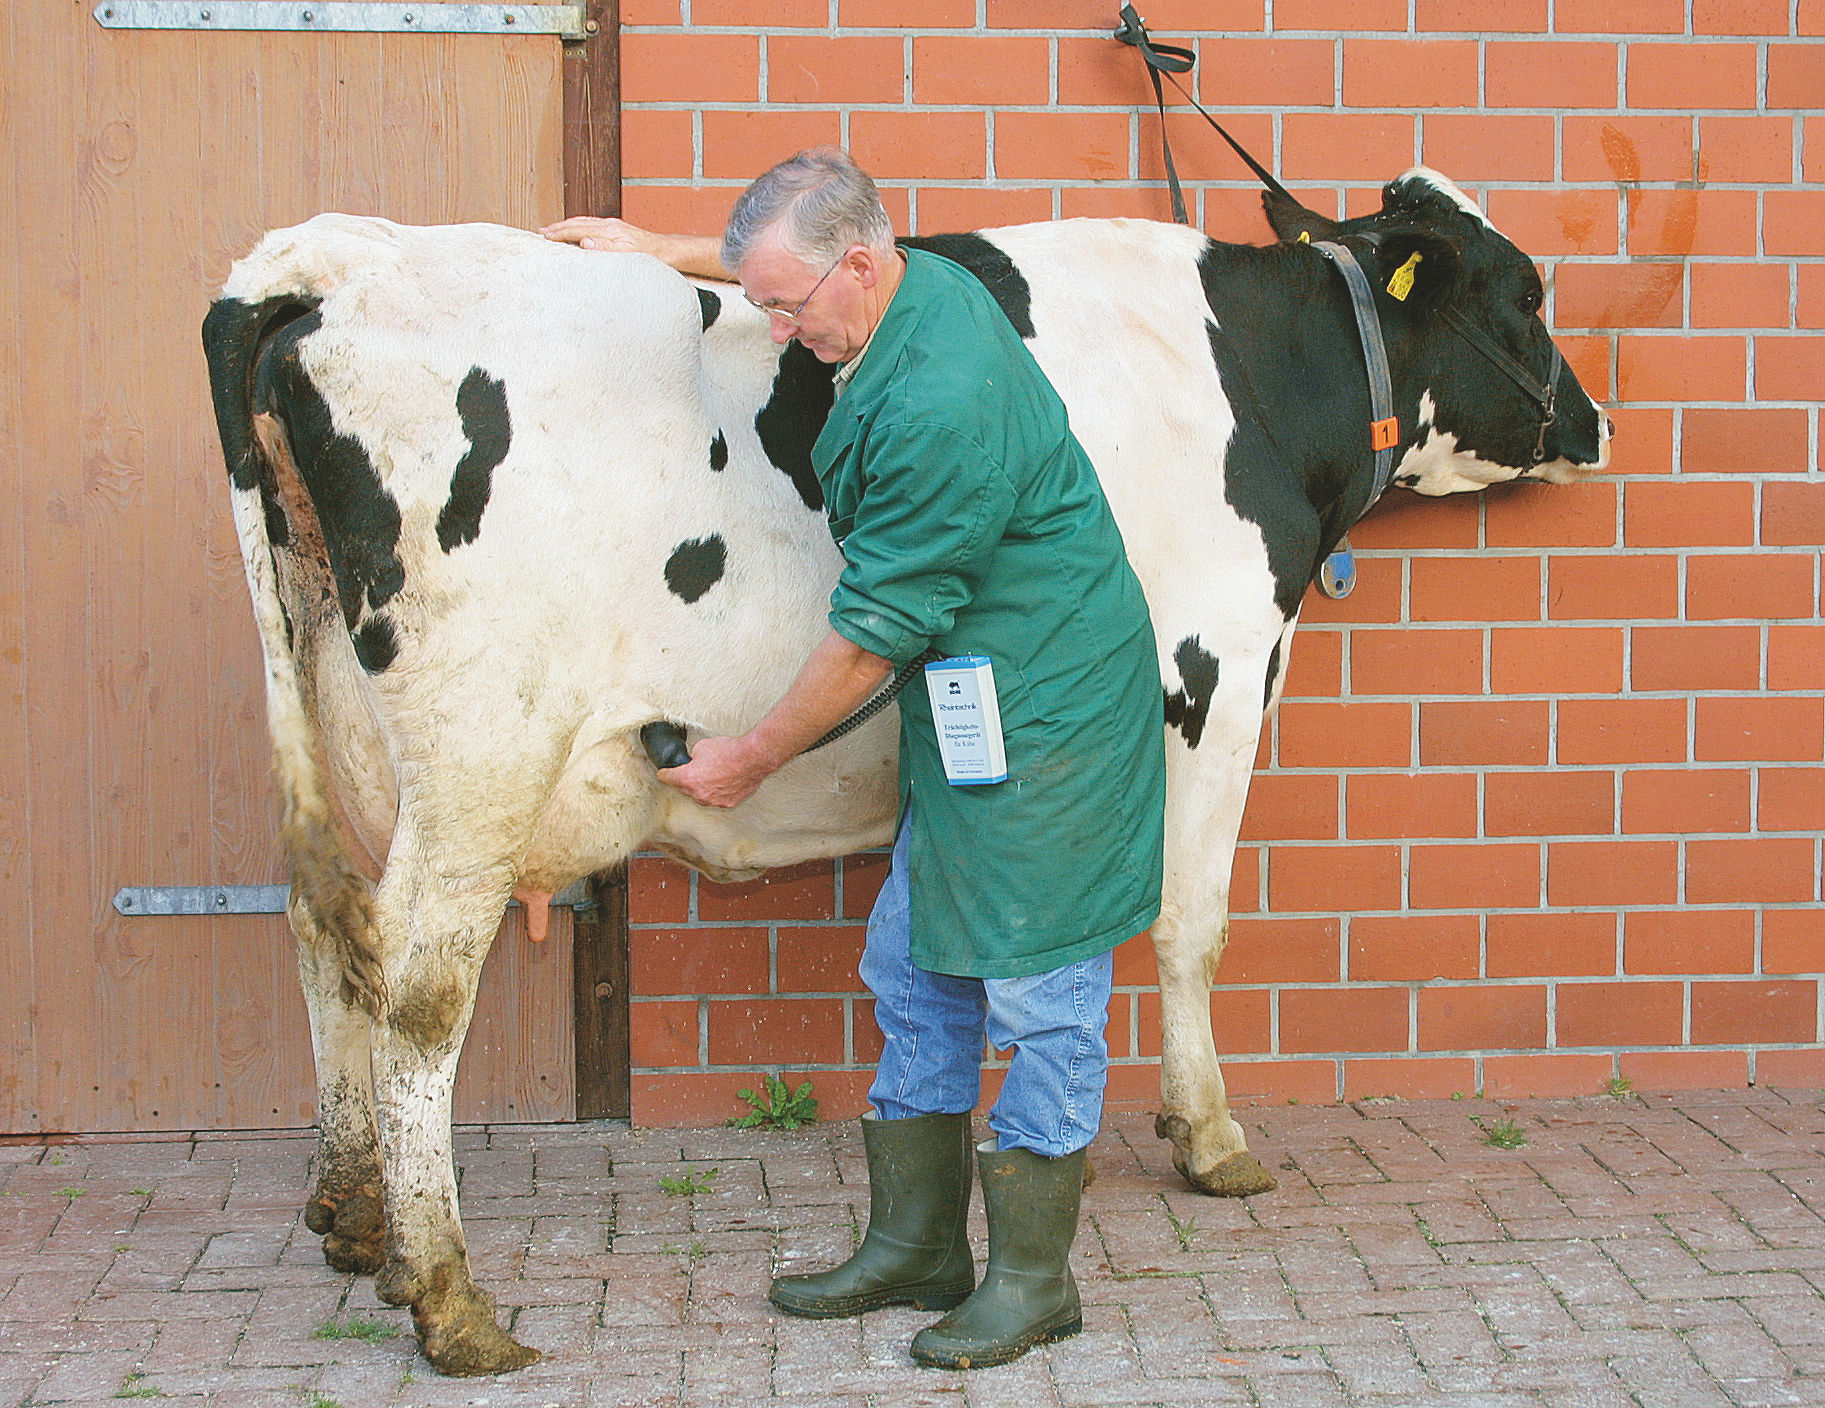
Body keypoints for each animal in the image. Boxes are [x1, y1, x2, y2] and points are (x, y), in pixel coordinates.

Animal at [201, 168, 1609, 1375]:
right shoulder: (1214, 679)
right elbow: (1188, 923)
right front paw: (1208, 1138)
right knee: (417, 992)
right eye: (1526, 293)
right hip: (481, 754)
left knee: (330, 933)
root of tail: (332, 256)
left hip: (332, 716)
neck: (1249, 379)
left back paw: (359, 1218)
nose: (1593, 423)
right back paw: (450, 1299)